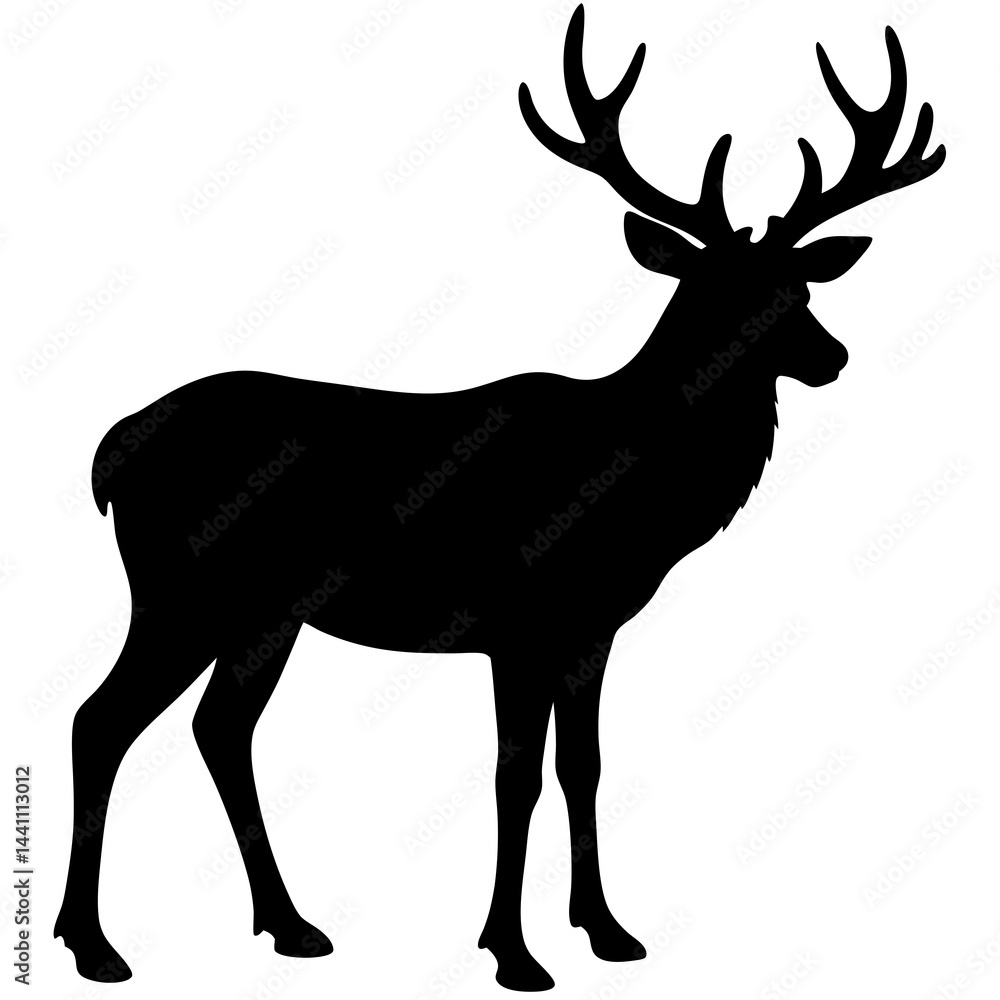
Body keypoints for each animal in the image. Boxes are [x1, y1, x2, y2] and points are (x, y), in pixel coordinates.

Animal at [54, 4, 944, 992]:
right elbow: (514, 776)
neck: (633, 486)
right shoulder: (517, 619)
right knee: (100, 720)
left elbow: (582, 765)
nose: (832, 355)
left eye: (799, 285)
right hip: (181, 589)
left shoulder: (590, 626)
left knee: (219, 729)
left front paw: (608, 931)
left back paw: (290, 925)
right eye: (712, 292)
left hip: (263, 613)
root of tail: (107, 454)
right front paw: (513, 952)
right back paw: (94, 944)